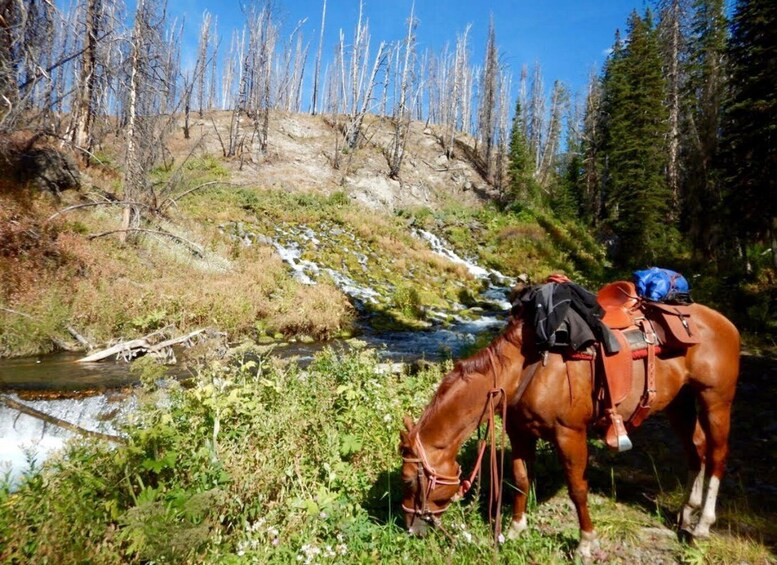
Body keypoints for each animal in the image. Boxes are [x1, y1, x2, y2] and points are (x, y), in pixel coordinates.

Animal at [400, 298, 740, 556]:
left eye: (408, 480)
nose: (410, 528)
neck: (527, 367)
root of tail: (724, 322)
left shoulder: (569, 434)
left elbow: (578, 489)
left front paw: (585, 544)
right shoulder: (520, 433)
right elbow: (520, 479)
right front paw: (515, 529)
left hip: (716, 400)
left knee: (717, 455)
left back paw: (702, 526)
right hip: (679, 404)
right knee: (696, 451)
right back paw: (686, 514)